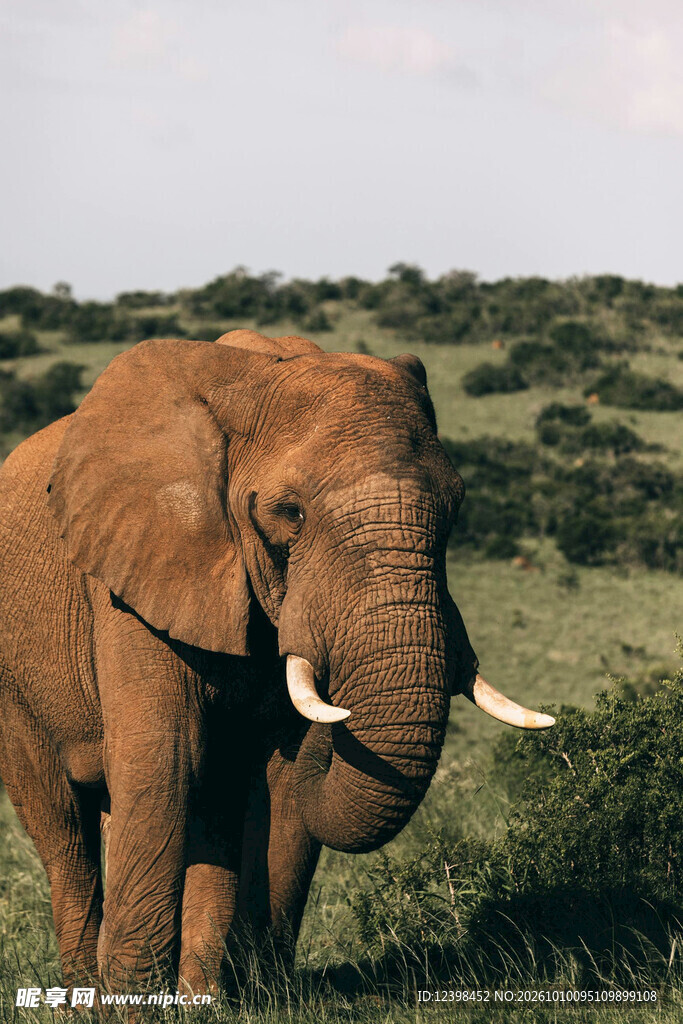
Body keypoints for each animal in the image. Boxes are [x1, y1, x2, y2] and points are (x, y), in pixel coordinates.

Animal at [0, 329, 553, 994]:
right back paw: (88, 995)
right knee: (65, 830)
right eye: (290, 514)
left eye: (455, 508)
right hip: (14, 684)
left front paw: (261, 998)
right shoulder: (129, 579)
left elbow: (282, 782)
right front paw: (137, 1002)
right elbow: (167, 757)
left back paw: (200, 995)